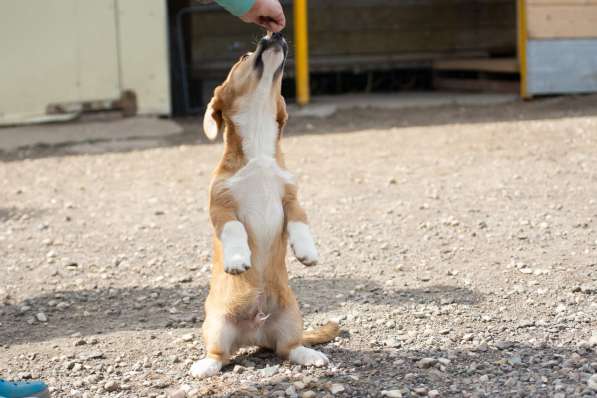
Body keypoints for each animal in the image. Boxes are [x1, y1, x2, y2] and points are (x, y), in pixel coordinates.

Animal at [191, 31, 340, 380]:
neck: (258, 148)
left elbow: (300, 222)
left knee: (287, 349)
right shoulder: (220, 206)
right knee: (220, 356)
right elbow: (234, 229)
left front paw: (307, 252)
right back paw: (205, 365)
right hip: (217, 326)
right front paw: (237, 259)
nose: (275, 33)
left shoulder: (291, 198)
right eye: (244, 56)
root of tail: (253, 333)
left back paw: (309, 355)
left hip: (291, 318)